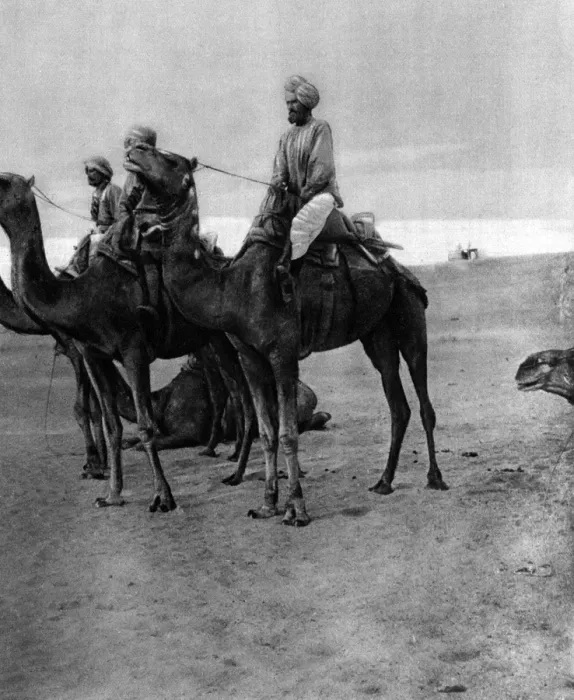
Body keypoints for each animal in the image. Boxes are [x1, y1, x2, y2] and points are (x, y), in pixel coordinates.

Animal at [0, 170, 256, 512]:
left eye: (3, 182)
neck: (81, 294)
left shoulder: (132, 349)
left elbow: (144, 424)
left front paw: (162, 497)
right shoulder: (91, 354)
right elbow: (109, 423)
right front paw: (111, 493)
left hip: (232, 335)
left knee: (248, 393)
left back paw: (243, 472)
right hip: (213, 339)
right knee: (235, 393)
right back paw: (233, 466)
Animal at [120, 143, 447, 526]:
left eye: (170, 161)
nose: (135, 149)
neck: (231, 287)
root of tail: (397, 266)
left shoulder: (283, 353)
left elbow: (289, 433)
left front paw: (297, 509)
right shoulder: (250, 358)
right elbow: (266, 432)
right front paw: (267, 504)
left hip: (410, 319)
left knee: (423, 399)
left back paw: (435, 478)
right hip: (377, 335)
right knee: (398, 404)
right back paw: (383, 482)